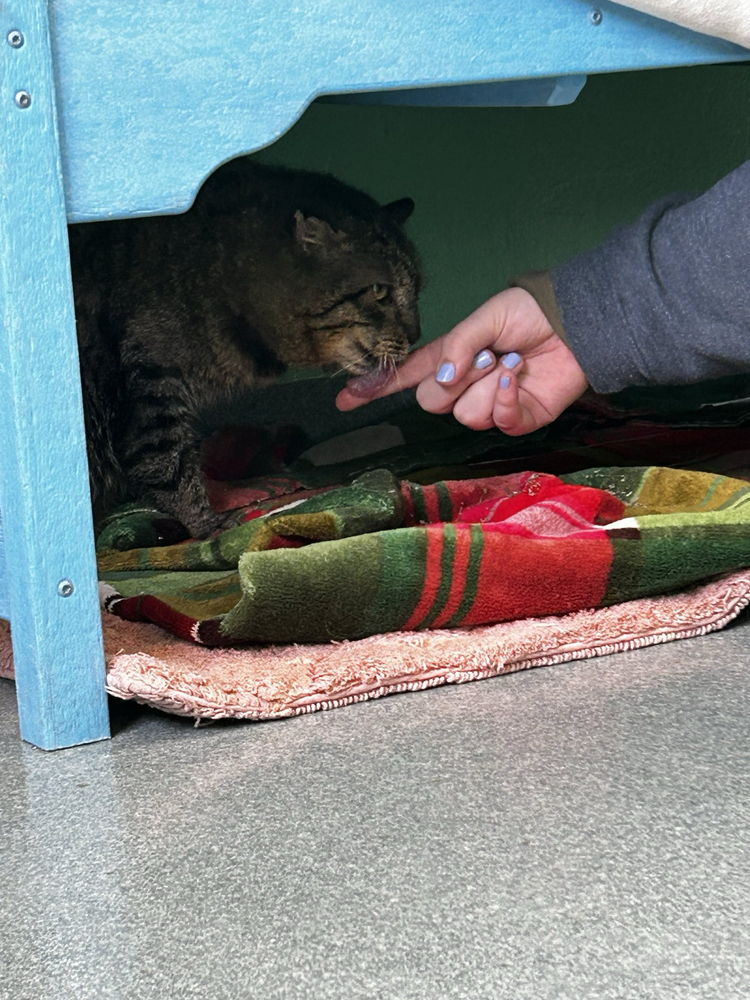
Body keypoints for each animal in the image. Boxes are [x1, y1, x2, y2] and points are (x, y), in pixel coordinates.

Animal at [70, 160, 424, 540]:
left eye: (417, 288)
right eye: (379, 291)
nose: (417, 335)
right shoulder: (150, 387)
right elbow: (168, 466)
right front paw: (207, 525)